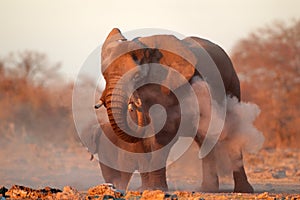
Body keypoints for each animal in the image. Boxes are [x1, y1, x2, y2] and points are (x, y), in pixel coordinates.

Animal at [91, 28, 253, 192]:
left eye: (137, 76)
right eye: (105, 76)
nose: (135, 103)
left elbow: (164, 132)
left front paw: (157, 189)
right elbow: (141, 142)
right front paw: (144, 189)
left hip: (232, 85)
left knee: (232, 132)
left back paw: (242, 190)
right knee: (204, 137)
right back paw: (207, 189)